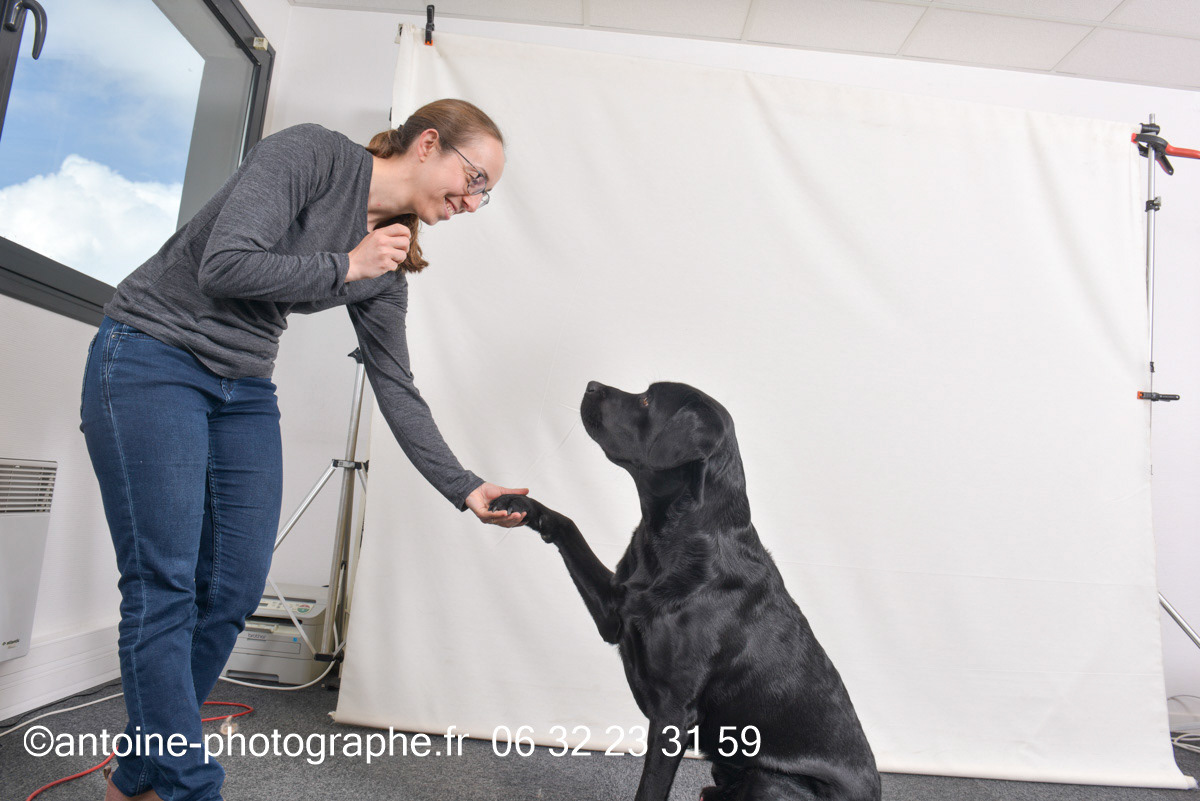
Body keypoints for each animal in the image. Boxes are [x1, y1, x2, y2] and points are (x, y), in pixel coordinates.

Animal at [490, 381, 881, 801]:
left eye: (647, 399)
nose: (591, 385)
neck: (672, 538)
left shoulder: (674, 711)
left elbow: (651, 788)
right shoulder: (616, 611)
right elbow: (568, 525)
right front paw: (521, 503)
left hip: (771, 778)